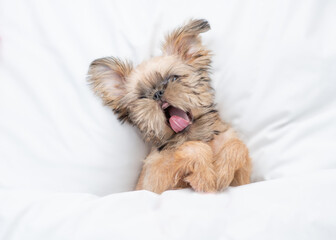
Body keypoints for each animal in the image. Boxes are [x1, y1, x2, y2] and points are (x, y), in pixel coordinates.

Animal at [88, 19, 251, 194]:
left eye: (173, 78)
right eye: (142, 97)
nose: (157, 94)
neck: (201, 138)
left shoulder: (242, 180)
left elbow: (238, 146)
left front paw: (221, 172)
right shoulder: (154, 181)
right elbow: (191, 148)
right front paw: (205, 177)